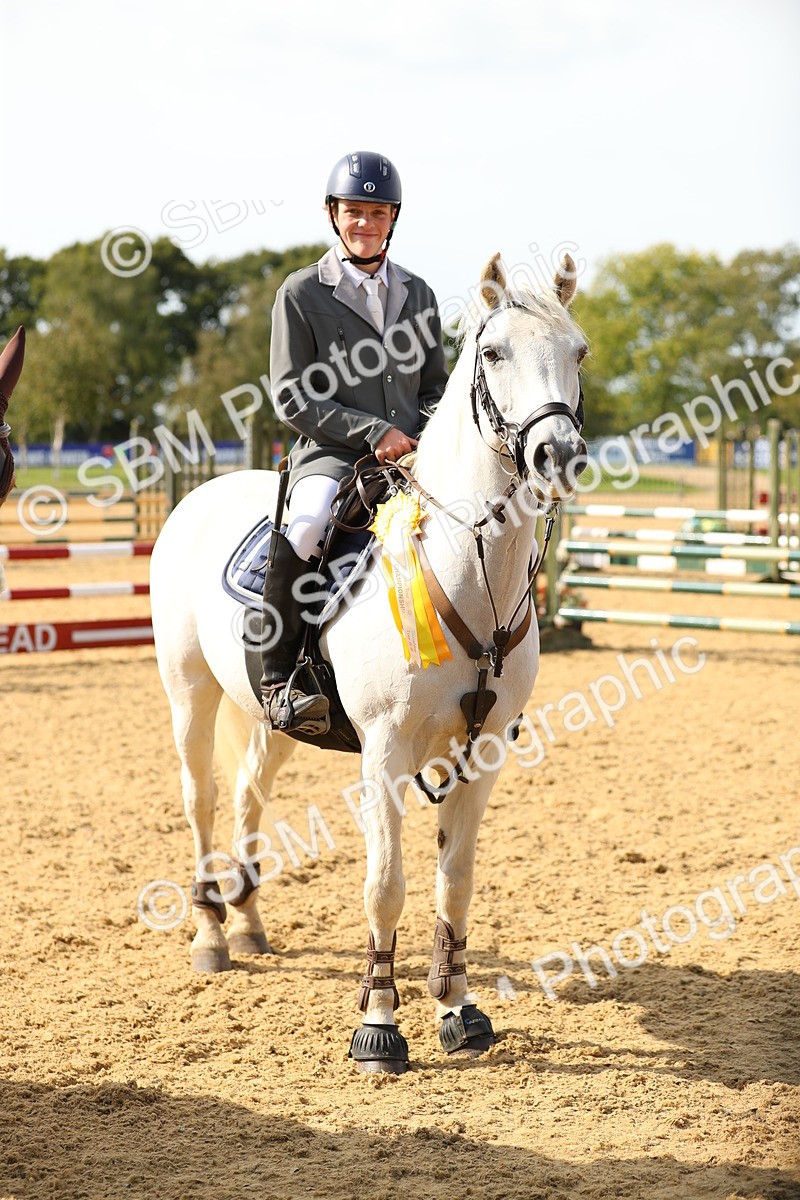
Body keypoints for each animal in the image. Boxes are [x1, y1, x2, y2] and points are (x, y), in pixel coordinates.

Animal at [149, 252, 588, 1073]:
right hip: (188, 692)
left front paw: (457, 1008)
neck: (465, 565)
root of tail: (203, 492)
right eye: (492, 353)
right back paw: (212, 933)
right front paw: (380, 1023)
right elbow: (386, 885)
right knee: (202, 800)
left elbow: (455, 882)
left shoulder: (482, 751)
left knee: (249, 791)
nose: (559, 457)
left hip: (276, 718)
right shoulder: (384, 751)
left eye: (578, 352)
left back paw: (249, 923)